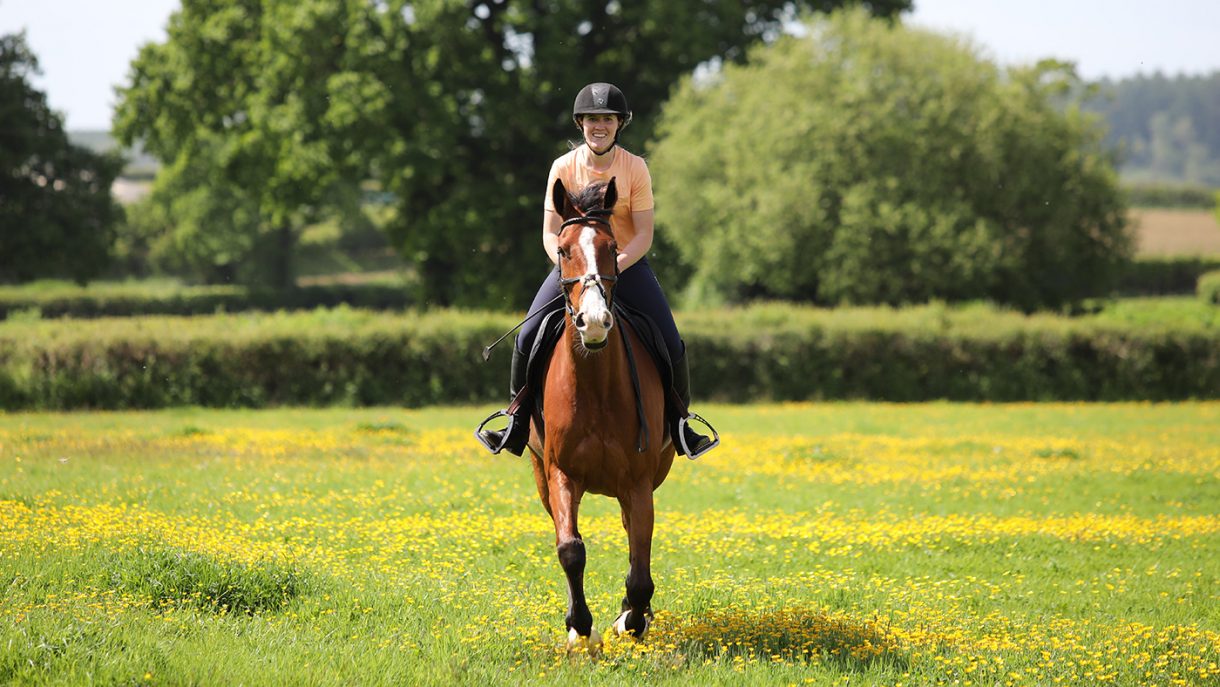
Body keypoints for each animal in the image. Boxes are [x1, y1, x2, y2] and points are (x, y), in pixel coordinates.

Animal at [527, 176, 676, 651]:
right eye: (563, 249)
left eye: (612, 248)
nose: (593, 322)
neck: (594, 387)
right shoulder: (560, 473)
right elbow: (571, 549)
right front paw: (579, 627)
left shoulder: (639, 482)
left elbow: (640, 559)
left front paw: (632, 619)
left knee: (633, 537)